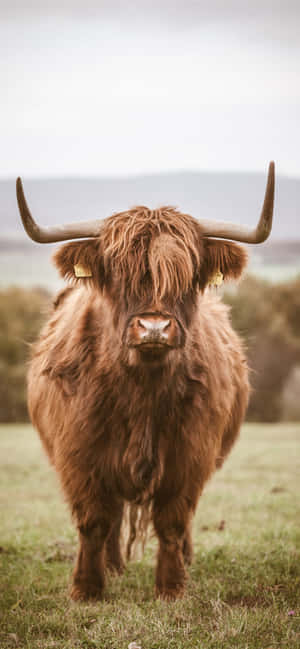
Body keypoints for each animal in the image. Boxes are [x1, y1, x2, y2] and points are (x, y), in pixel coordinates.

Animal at [15, 165, 274, 600]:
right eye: (117, 274)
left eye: (186, 276)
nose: (154, 327)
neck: (141, 390)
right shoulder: (79, 454)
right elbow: (94, 521)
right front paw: (87, 588)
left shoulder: (191, 454)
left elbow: (173, 520)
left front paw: (171, 587)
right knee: (114, 515)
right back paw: (113, 566)